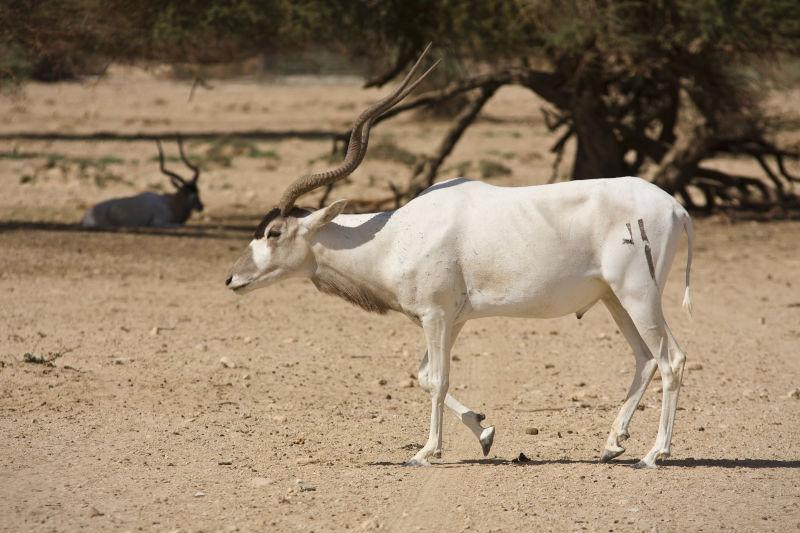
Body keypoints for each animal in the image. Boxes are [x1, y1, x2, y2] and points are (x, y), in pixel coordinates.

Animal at [225, 46, 692, 470]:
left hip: (637, 295)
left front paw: (426, 451)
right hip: (615, 299)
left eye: (273, 232)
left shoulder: (435, 316)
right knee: (645, 358)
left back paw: (654, 454)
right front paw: (484, 432)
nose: (232, 279)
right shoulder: (454, 319)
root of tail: (676, 208)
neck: (392, 236)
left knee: (671, 358)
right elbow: (425, 376)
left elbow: (437, 379)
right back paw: (613, 444)